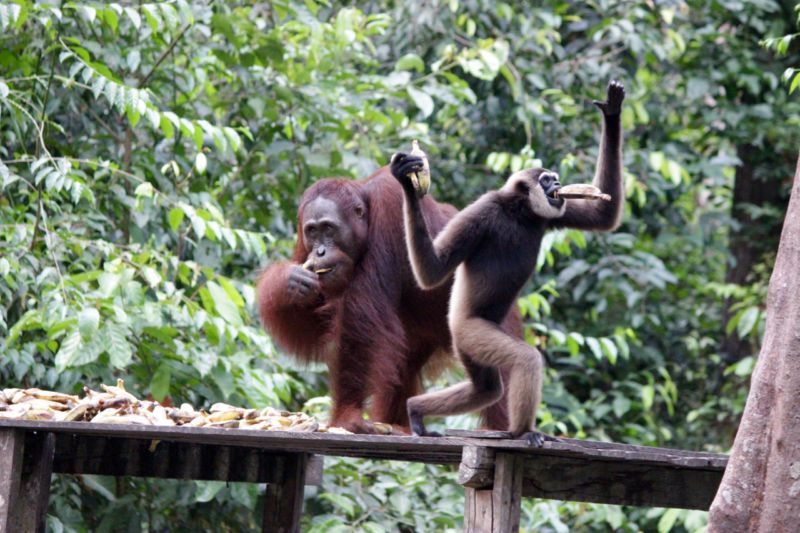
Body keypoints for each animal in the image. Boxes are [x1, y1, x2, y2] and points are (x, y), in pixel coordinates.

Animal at [389, 81, 625, 446]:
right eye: (547, 180)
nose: (558, 185)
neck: (520, 212)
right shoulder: (484, 210)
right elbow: (433, 271)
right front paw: (407, 183)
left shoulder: (550, 215)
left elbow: (604, 214)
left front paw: (612, 111)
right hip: (470, 331)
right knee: (521, 362)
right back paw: (522, 432)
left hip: (466, 344)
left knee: (485, 388)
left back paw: (415, 408)